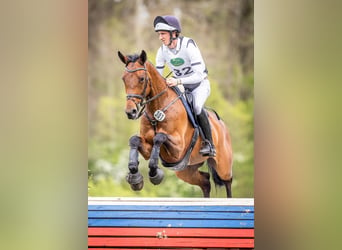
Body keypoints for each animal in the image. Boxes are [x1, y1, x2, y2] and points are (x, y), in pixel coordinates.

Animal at [119, 49, 234, 197]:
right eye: (123, 79)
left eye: (141, 79)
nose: (131, 112)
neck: (158, 109)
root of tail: (223, 126)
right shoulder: (149, 148)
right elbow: (134, 140)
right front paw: (135, 178)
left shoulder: (178, 148)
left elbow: (159, 137)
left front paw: (155, 174)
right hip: (186, 169)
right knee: (205, 181)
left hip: (223, 166)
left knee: (228, 183)